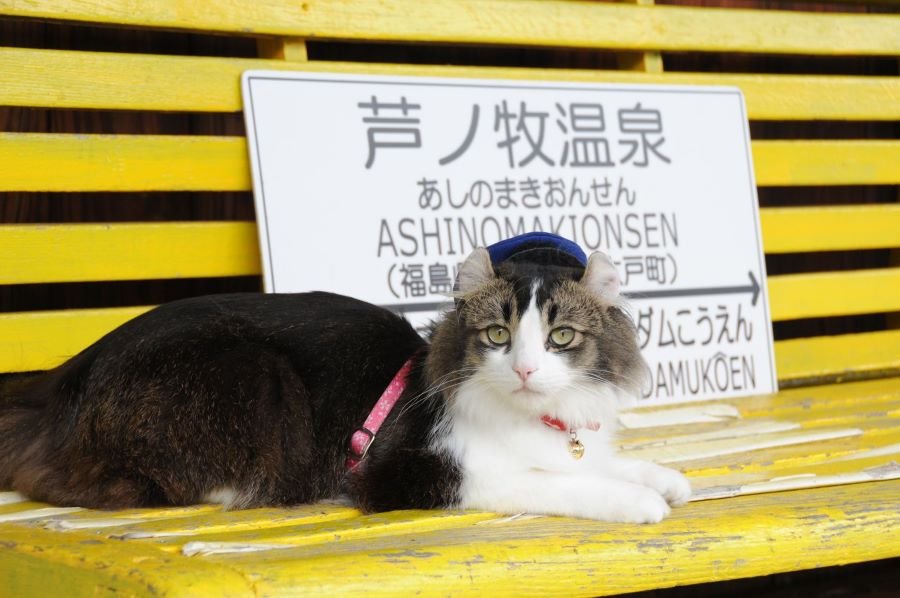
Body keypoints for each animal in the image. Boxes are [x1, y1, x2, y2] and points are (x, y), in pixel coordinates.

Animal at [0, 234, 688, 524]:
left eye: (560, 338)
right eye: (497, 335)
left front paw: (665, 478)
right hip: (260, 377)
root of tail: (57, 382)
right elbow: (555, 483)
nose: (523, 368)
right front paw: (637, 501)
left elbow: (601, 463)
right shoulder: (415, 470)